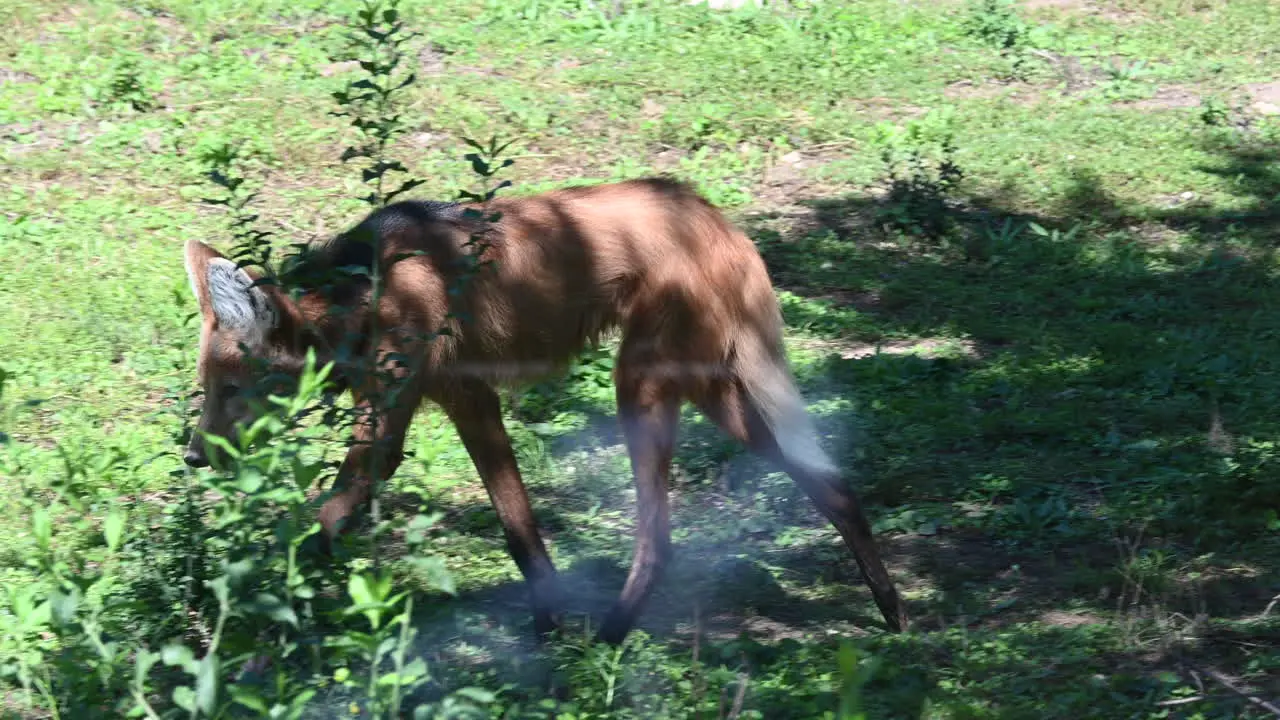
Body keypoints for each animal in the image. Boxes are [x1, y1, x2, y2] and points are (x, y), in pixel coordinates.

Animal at [180, 176, 911, 640]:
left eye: (232, 391)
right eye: (208, 389)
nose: (192, 457)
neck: (365, 293)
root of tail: (712, 214)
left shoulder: (393, 427)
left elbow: (318, 527)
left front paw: (256, 618)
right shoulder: (469, 402)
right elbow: (521, 531)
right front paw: (548, 627)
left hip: (639, 387)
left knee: (660, 537)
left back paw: (611, 640)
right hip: (711, 389)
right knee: (830, 484)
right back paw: (892, 613)